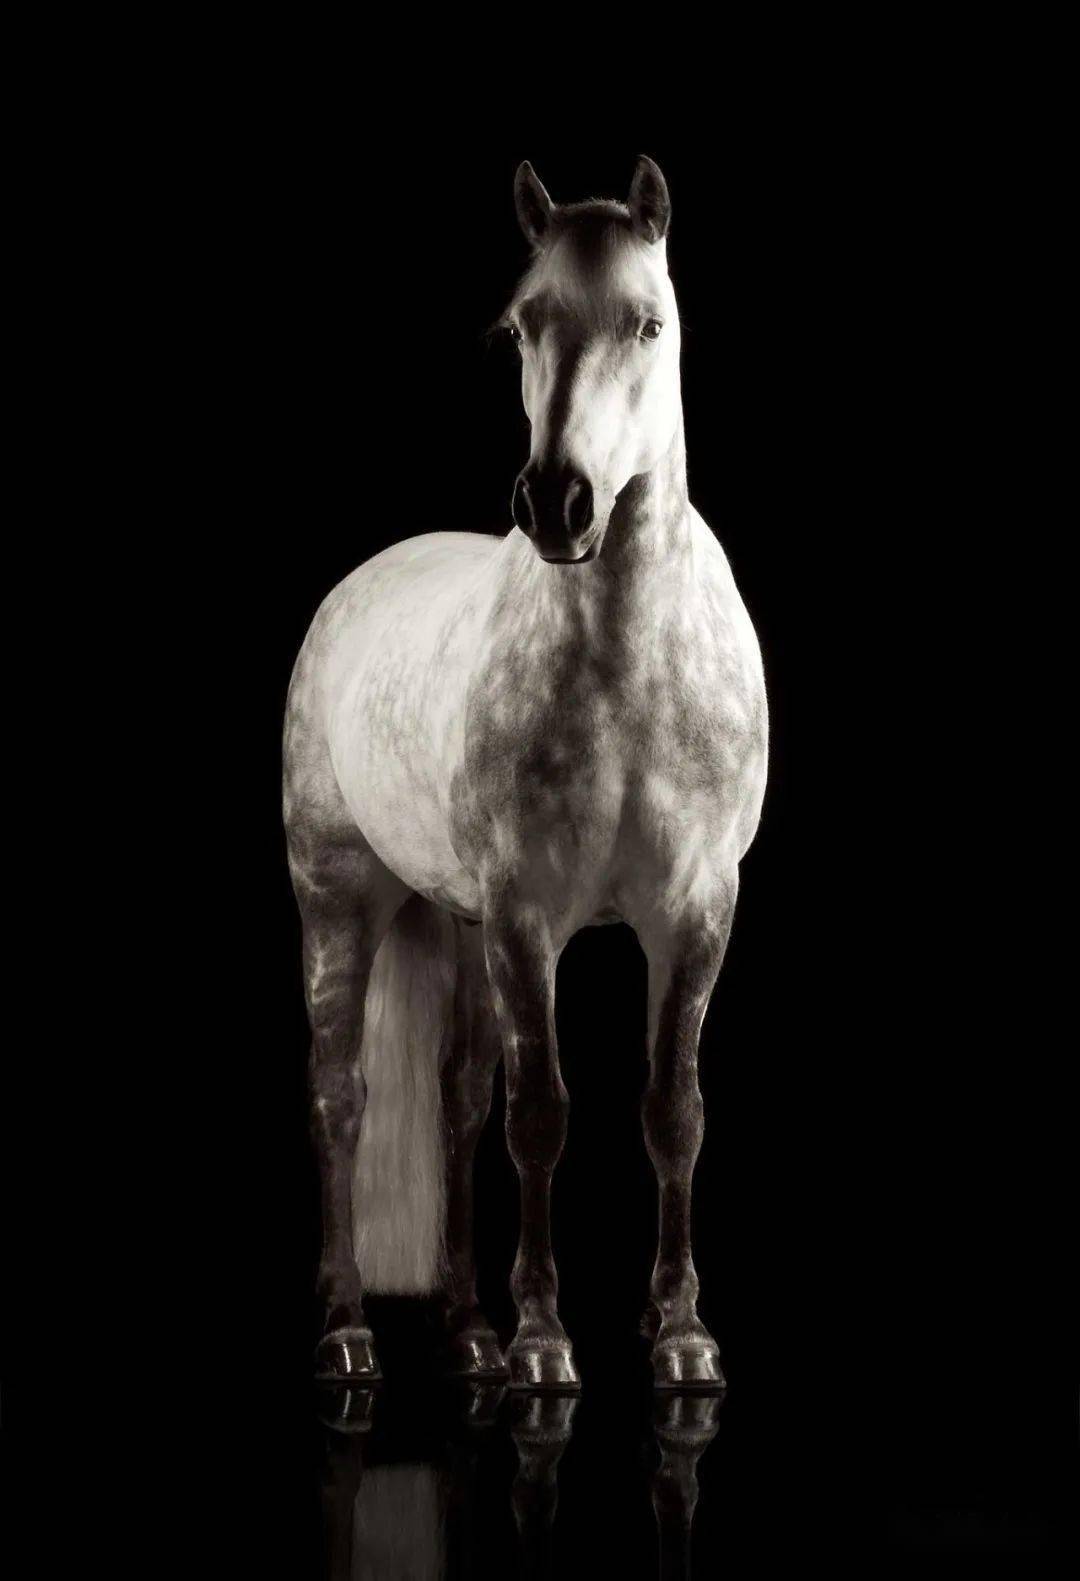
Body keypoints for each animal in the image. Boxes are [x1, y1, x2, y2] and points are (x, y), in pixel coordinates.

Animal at [284, 155, 768, 1392]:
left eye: (649, 322)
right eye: (520, 327)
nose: (558, 503)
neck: (631, 672)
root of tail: (355, 587)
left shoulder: (696, 911)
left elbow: (672, 1110)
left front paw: (680, 1333)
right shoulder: (525, 917)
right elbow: (541, 1115)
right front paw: (547, 1342)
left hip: (451, 920)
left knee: (453, 1102)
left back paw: (467, 1330)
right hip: (340, 899)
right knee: (342, 1095)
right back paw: (352, 1327)